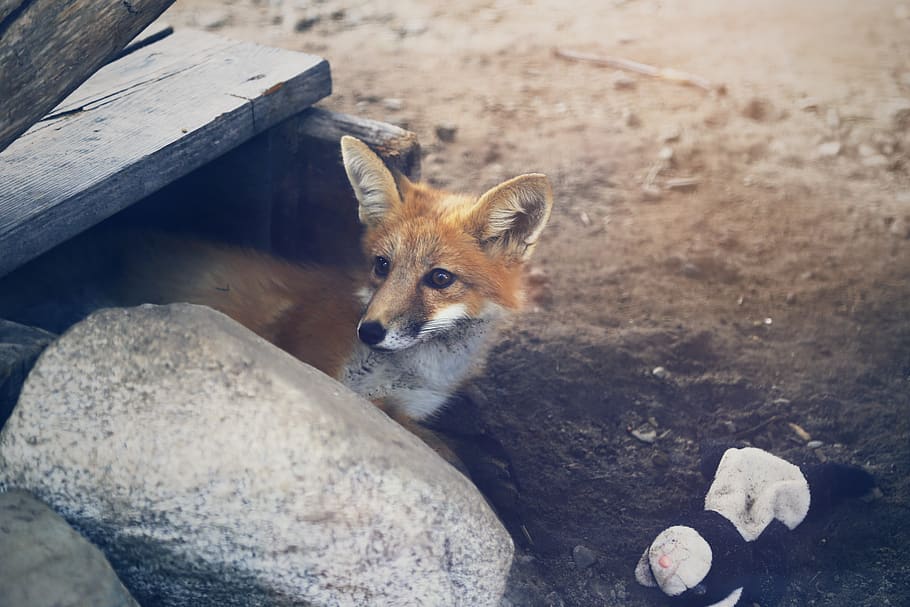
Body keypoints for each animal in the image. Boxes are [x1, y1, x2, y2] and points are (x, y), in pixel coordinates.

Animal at [0, 136, 553, 434]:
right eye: (381, 265)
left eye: (439, 278)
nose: (369, 331)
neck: (411, 375)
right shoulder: (319, 372)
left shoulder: (408, 408)